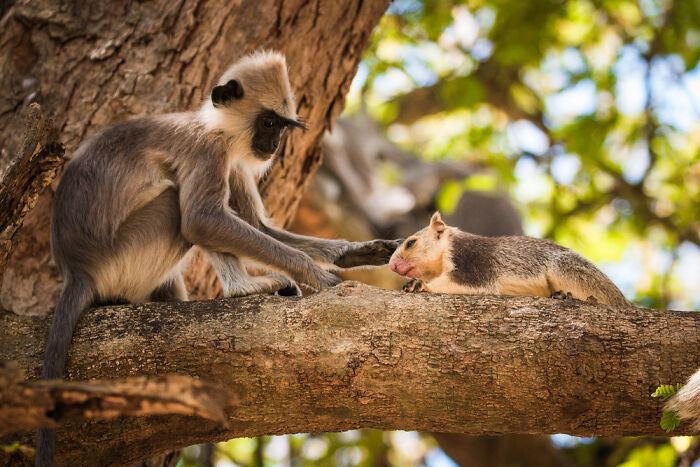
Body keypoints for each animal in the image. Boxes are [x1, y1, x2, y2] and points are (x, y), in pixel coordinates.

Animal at [388, 212, 631, 307]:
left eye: (411, 243)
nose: (392, 265)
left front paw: (420, 285)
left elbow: (471, 283)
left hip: (567, 269)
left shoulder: (474, 260)